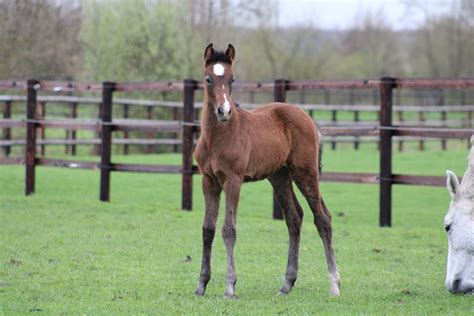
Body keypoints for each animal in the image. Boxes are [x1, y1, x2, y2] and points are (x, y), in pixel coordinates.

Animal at [193, 42, 340, 298]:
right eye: (208, 79)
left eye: (232, 79)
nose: (224, 111)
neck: (217, 137)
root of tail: (309, 119)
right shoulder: (208, 180)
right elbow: (208, 229)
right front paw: (201, 285)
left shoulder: (233, 180)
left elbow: (228, 229)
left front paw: (230, 287)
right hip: (280, 177)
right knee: (294, 218)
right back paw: (287, 284)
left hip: (305, 172)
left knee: (322, 218)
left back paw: (334, 284)